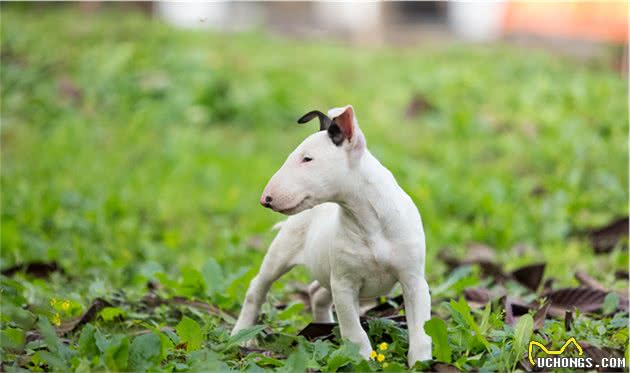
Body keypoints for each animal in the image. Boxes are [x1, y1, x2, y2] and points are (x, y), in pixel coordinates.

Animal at [232, 104, 434, 366]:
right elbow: (354, 331)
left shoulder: (413, 281)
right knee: (257, 287)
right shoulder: (344, 284)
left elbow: (420, 329)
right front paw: (362, 360)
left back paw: (323, 329)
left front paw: (421, 362)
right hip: (282, 252)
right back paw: (243, 334)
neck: (370, 221)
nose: (265, 199)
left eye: (307, 158)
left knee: (316, 293)